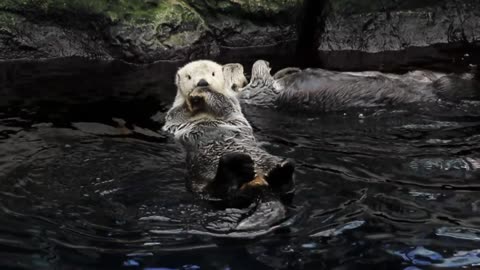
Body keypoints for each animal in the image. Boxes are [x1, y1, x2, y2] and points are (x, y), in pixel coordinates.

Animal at [163, 59, 294, 207]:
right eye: (189, 77)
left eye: (213, 74)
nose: (202, 82)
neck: (203, 109)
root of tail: (258, 182)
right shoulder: (173, 115)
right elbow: (178, 113)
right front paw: (192, 99)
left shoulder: (232, 104)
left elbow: (223, 103)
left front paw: (202, 92)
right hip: (197, 174)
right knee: (214, 192)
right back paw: (237, 168)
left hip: (267, 160)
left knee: (286, 186)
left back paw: (281, 170)